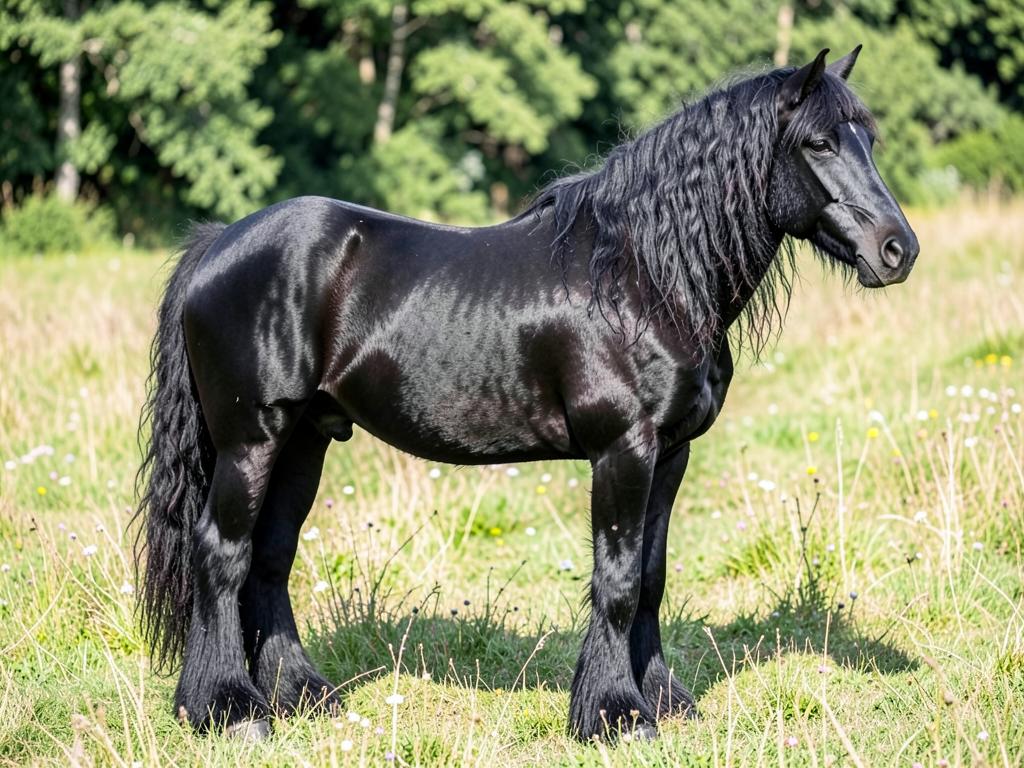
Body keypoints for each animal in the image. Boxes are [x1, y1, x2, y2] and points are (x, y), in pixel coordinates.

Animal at [135, 46, 918, 742]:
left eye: (868, 139)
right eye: (819, 142)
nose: (897, 250)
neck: (641, 278)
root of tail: (218, 243)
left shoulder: (670, 455)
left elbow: (652, 578)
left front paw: (663, 701)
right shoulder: (623, 451)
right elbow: (618, 581)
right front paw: (614, 714)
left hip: (304, 441)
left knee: (269, 559)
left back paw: (301, 696)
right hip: (252, 441)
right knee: (221, 554)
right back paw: (226, 709)